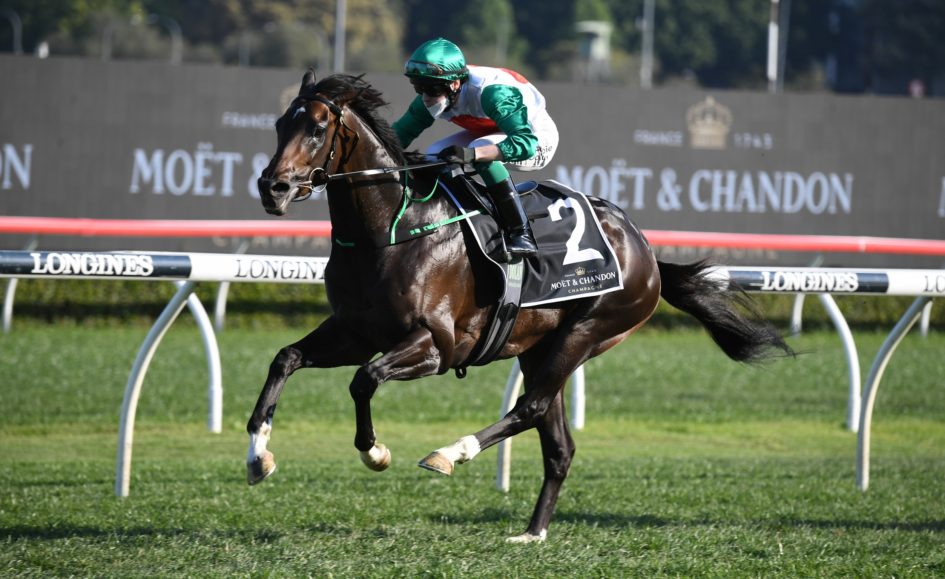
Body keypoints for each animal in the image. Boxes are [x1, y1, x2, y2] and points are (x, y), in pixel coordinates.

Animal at [247, 71, 792, 543]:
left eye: (318, 128)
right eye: (278, 125)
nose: (272, 187)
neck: (392, 230)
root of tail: (645, 250)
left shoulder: (436, 345)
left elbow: (365, 379)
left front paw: (376, 451)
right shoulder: (354, 331)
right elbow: (285, 359)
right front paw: (258, 455)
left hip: (589, 330)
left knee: (529, 407)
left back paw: (451, 452)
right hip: (539, 348)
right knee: (558, 444)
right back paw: (532, 533)